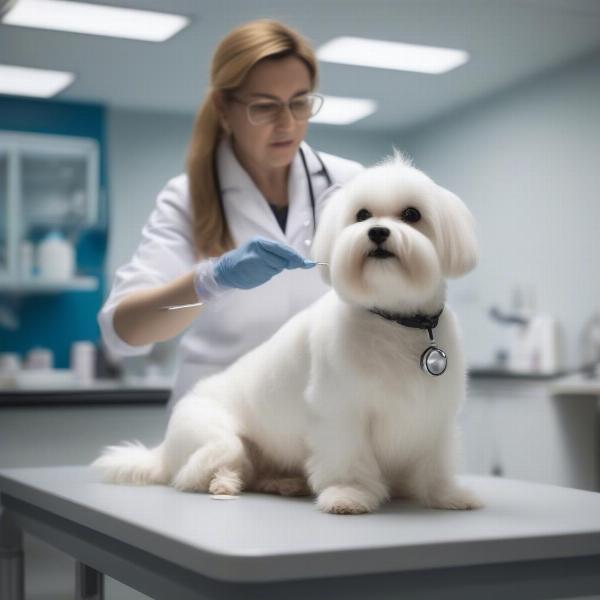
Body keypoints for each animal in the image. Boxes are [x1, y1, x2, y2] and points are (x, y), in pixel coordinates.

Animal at [92, 152, 482, 512]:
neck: (392, 319)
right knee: (195, 473)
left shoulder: (434, 415)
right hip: (218, 438)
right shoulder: (341, 415)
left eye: (412, 215)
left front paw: (446, 495)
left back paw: (285, 483)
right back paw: (225, 483)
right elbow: (349, 460)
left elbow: (436, 462)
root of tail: (162, 451)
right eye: (362, 215)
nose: (377, 232)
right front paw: (348, 495)